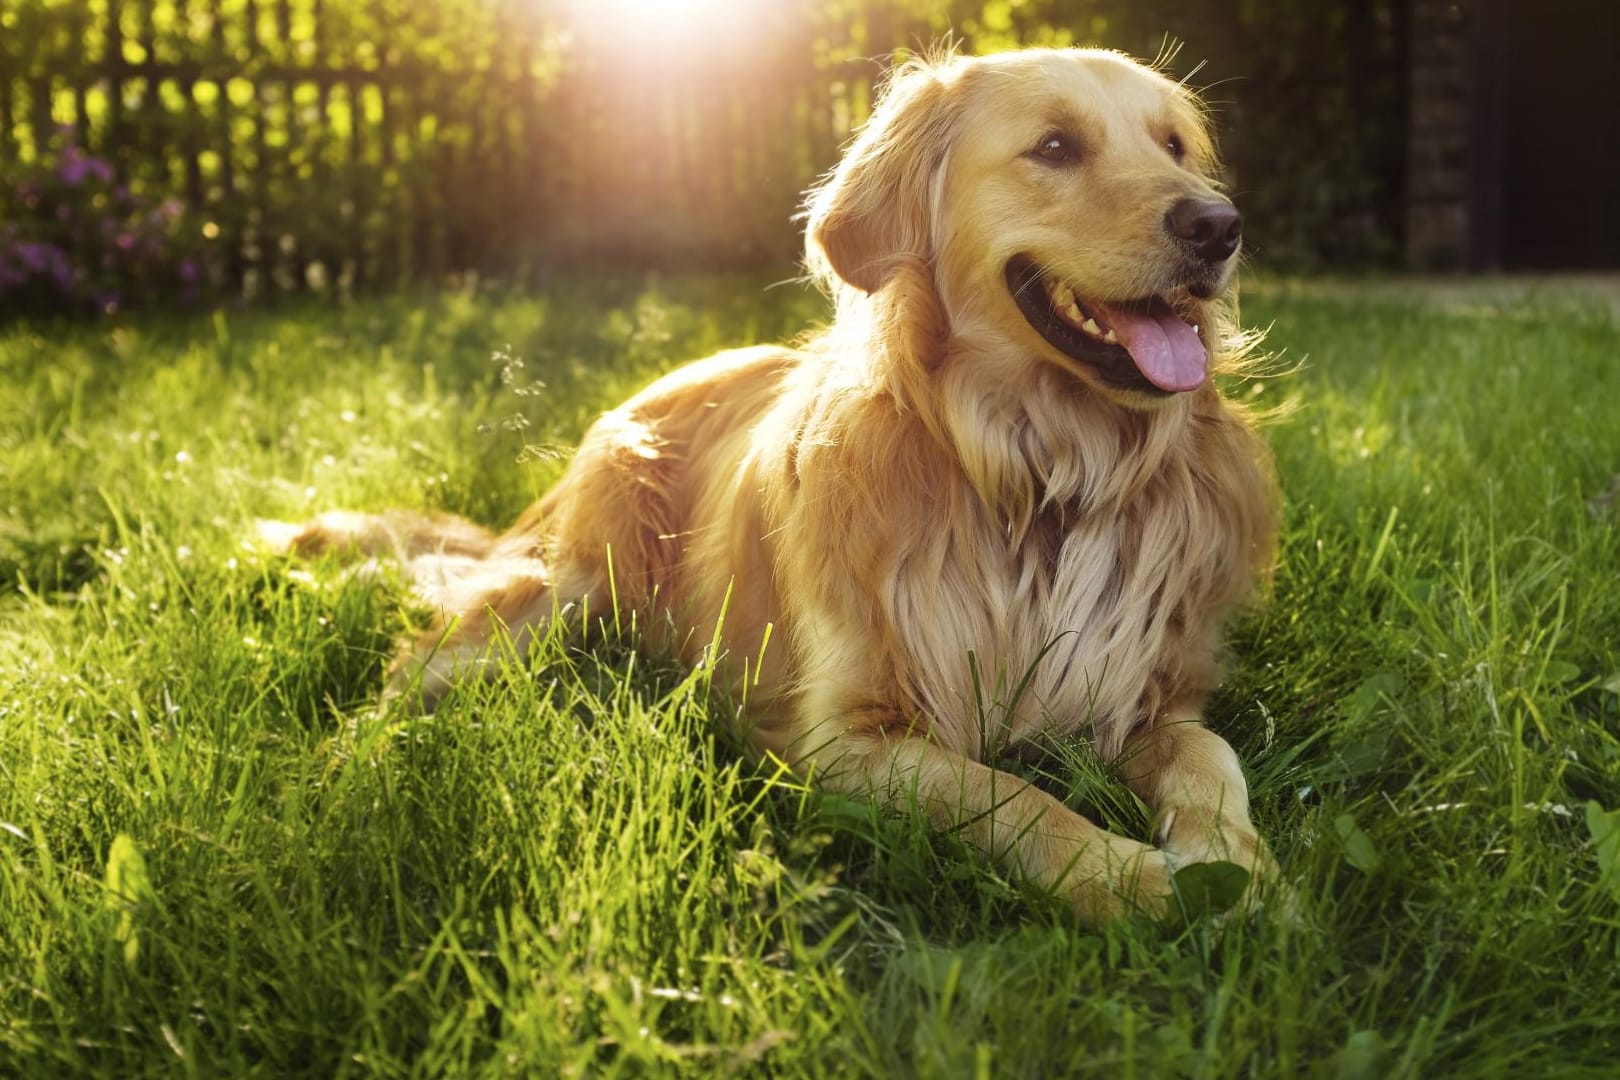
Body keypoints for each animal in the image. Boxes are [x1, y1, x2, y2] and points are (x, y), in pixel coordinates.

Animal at [265, 44, 1276, 919]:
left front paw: (1233, 862)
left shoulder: (1147, 690)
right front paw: (1132, 880)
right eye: (1057, 147)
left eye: (1174, 146)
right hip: (559, 591)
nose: (1220, 227)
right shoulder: (846, 739)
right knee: (407, 674)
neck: (1041, 476)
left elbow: (1209, 754)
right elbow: (1011, 797)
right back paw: (340, 780)